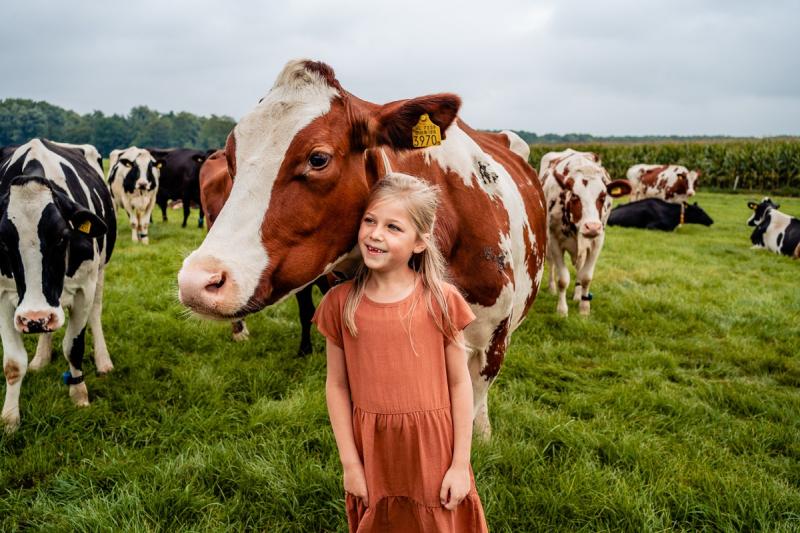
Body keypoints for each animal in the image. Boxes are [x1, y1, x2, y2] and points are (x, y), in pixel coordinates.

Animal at [0, 138, 117, 432]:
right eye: (3, 241)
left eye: (62, 236)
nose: (35, 316)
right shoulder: (2, 294)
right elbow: (13, 363)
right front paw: (9, 419)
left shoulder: (84, 288)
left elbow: (73, 347)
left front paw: (79, 395)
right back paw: (41, 357)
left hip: (101, 271)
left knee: (96, 313)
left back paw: (103, 361)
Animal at [536, 149, 632, 316]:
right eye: (575, 195)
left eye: (602, 196)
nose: (592, 226)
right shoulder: (554, 240)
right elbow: (563, 278)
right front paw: (562, 310)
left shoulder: (598, 241)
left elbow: (586, 276)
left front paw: (584, 307)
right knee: (551, 262)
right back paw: (552, 288)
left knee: (579, 267)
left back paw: (577, 294)